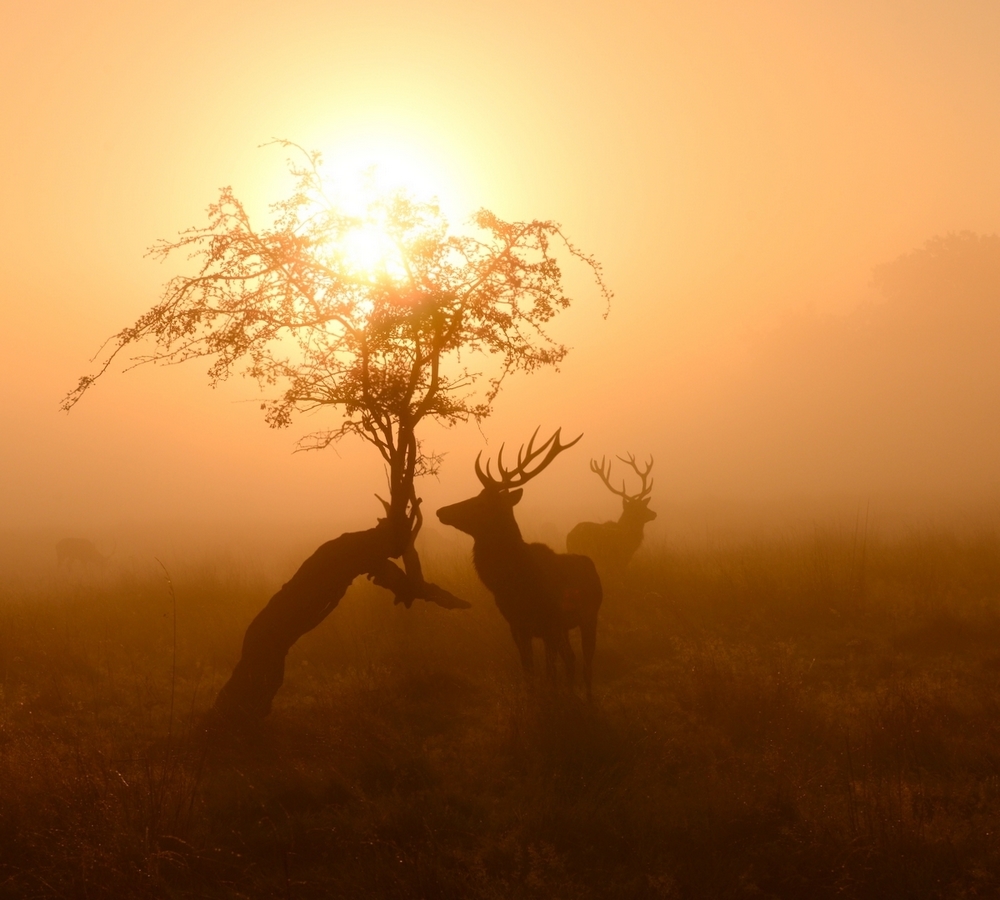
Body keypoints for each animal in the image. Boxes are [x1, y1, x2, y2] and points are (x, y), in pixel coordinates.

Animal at [436, 430, 600, 704]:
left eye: (480, 503)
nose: (441, 510)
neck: (513, 581)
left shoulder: (548, 623)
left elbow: (550, 670)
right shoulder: (516, 623)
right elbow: (528, 668)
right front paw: (536, 698)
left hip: (590, 617)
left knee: (585, 661)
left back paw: (586, 698)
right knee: (571, 660)